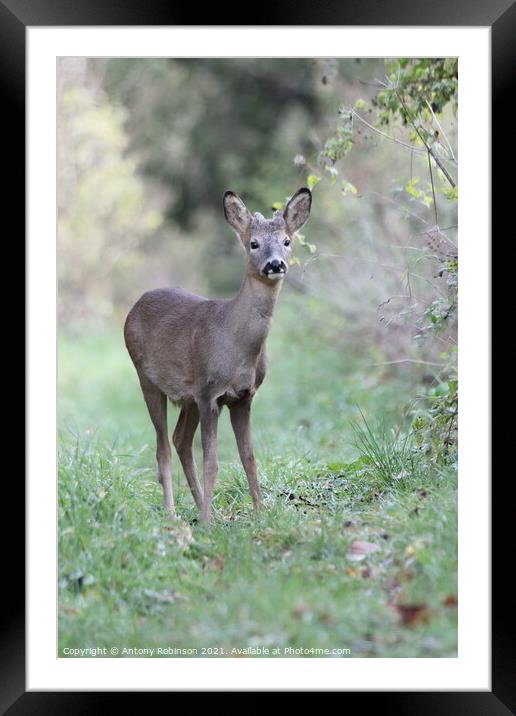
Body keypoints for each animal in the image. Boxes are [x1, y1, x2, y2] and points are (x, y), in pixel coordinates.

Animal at [124, 187, 310, 524]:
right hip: (147, 378)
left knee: (180, 440)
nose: (275, 264)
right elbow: (212, 462)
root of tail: (134, 306)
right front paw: (210, 524)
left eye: (287, 241)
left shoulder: (242, 397)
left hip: (188, 396)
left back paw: (202, 509)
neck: (237, 346)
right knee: (162, 447)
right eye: (254, 243)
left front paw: (259, 513)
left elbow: (248, 456)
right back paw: (174, 515)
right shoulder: (210, 394)